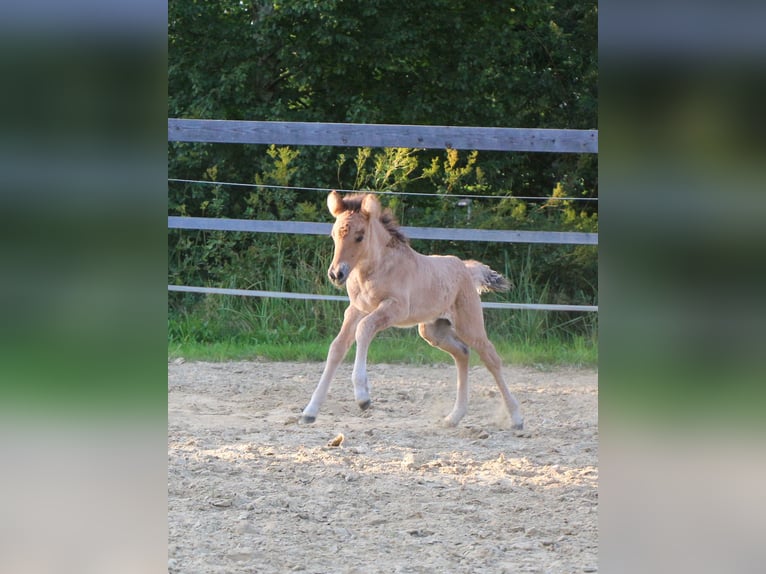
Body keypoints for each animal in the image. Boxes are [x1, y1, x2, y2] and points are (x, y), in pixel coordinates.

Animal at [299, 190, 524, 429]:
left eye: (359, 236)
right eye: (333, 235)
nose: (336, 274)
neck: (374, 270)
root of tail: (466, 268)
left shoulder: (395, 308)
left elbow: (364, 329)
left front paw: (363, 397)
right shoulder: (356, 310)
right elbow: (337, 348)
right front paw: (310, 412)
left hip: (469, 325)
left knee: (491, 358)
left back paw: (516, 418)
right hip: (432, 331)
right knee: (462, 353)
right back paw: (454, 417)